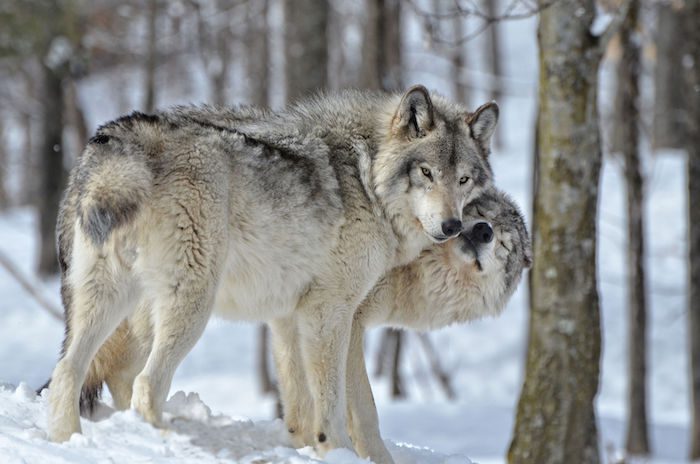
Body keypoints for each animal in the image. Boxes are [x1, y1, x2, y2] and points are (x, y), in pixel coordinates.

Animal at [45, 85, 498, 458]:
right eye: (426, 173)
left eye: (463, 179)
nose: (452, 226)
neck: (366, 178)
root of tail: (116, 139)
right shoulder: (329, 313)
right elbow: (333, 404)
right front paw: (336, 449)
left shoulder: (289, 316)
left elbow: (302, 405)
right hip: (190, 306)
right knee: (145, 385)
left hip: (110, 299)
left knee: (68, 371)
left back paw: (69, 442)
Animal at [278, 187, 532, 462]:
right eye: (480, 213)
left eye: (505, 244)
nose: (484, 231)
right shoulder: (347, 318)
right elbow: (365, 409)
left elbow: (299, 396)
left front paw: (302, 445)